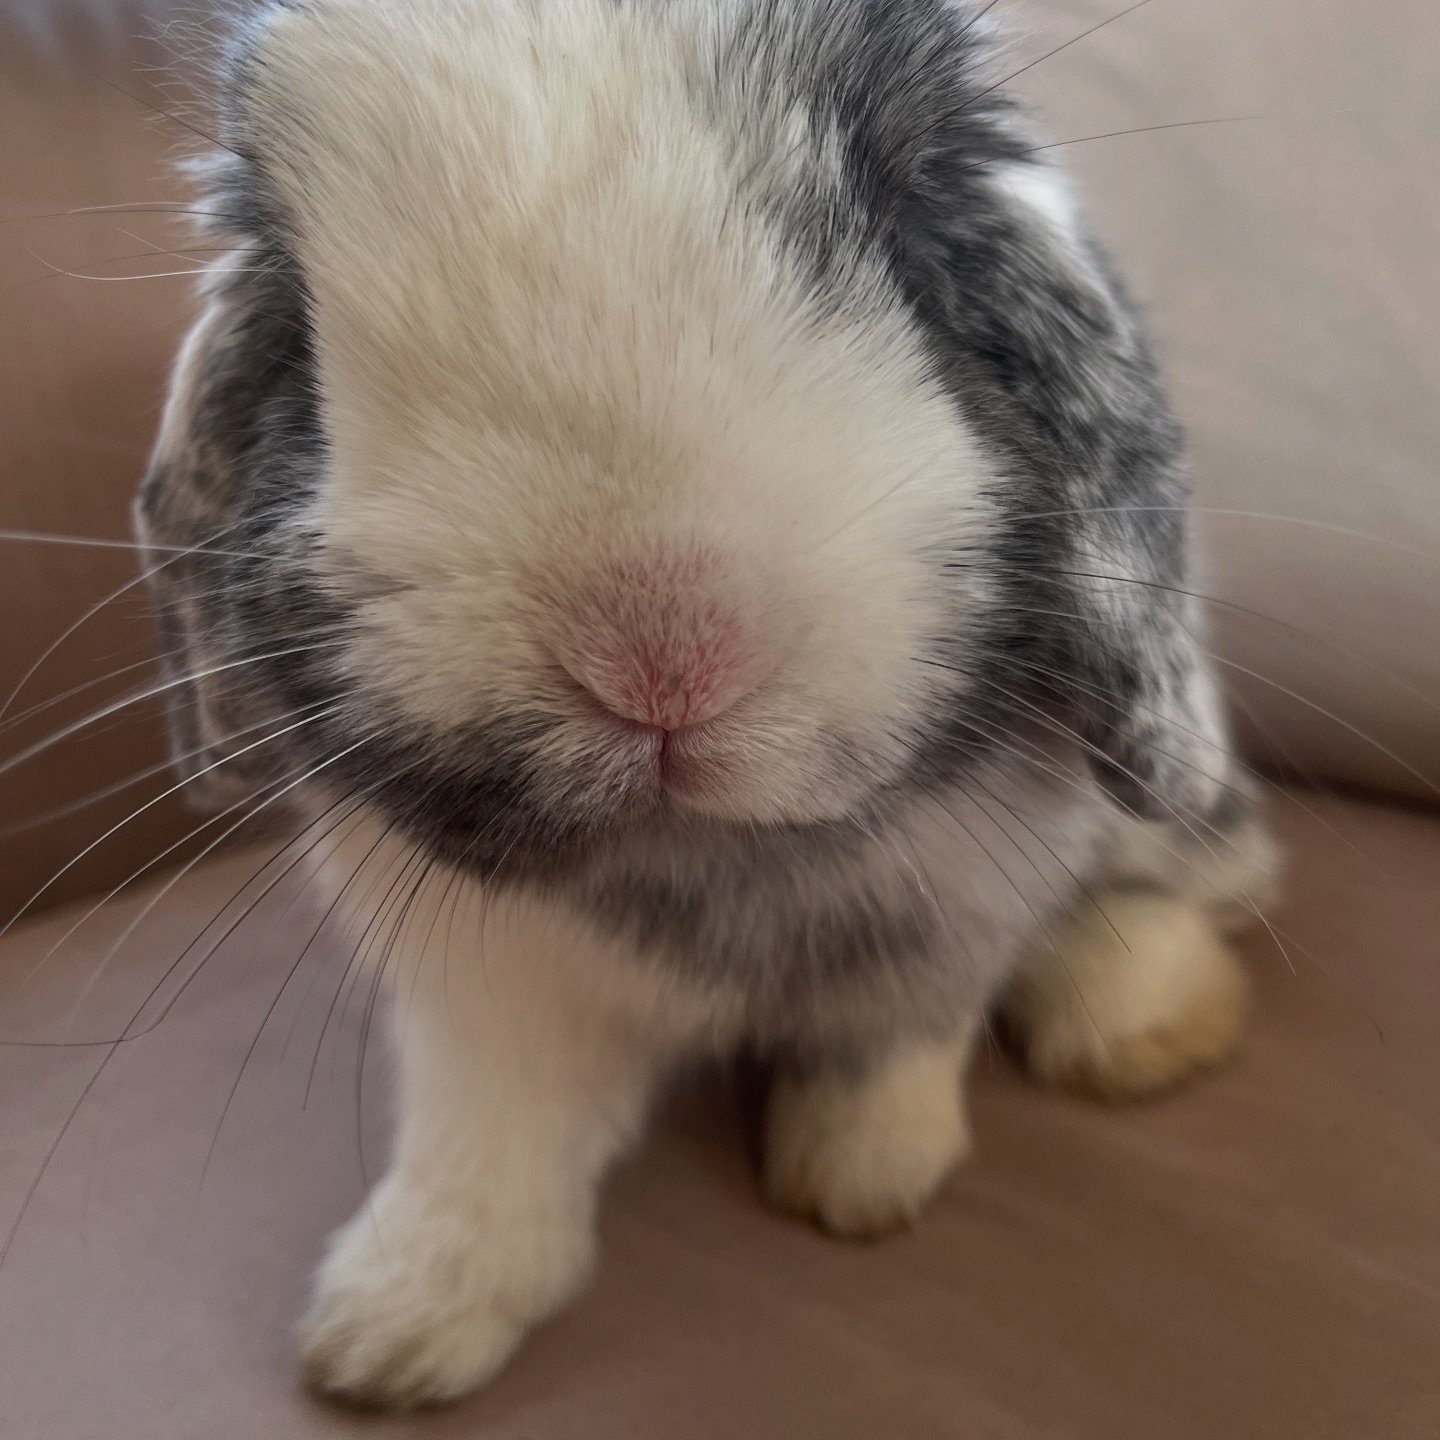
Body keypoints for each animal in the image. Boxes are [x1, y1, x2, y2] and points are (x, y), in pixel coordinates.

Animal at [135, 0, 1279, 1409]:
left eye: (907, 247)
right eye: (299, 327)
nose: (657, 650)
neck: (707, 856)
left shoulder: (954, 913)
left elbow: (893, 1039)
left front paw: (862, 1180)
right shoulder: (481, 987)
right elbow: (486, 1133)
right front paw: (394, 1328)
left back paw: (1140, 1022)